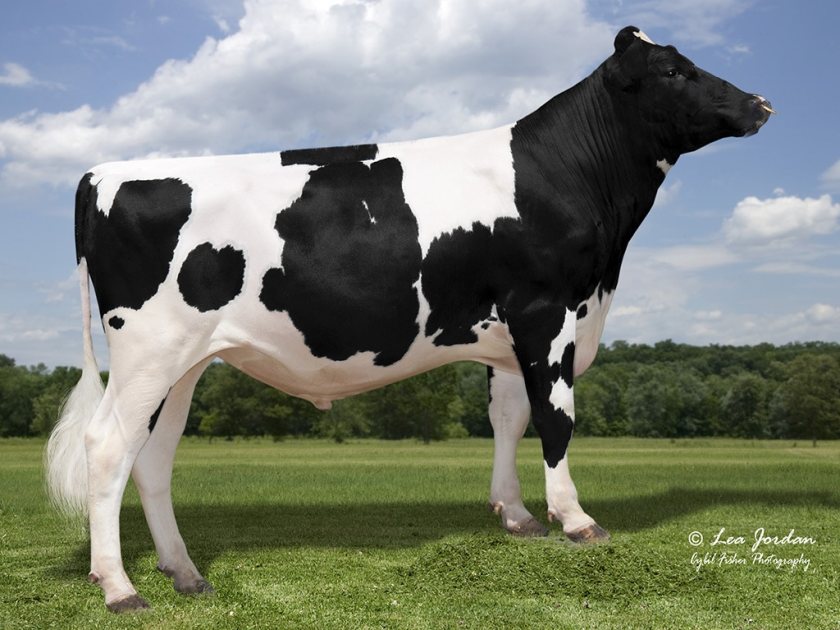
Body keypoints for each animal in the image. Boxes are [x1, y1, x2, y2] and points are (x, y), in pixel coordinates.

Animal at [46, 26, 772, 612]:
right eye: (672, 71)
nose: (761, 102)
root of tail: (102, 172)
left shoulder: (508, 333)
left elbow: (508, 417)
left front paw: (516, 515)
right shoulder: (548, 311)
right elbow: (556, 419)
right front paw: (575, 520)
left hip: (184, 364)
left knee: (152, 457)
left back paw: (185, 573)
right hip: (148, 349)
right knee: (107, 447)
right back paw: (120, 588)